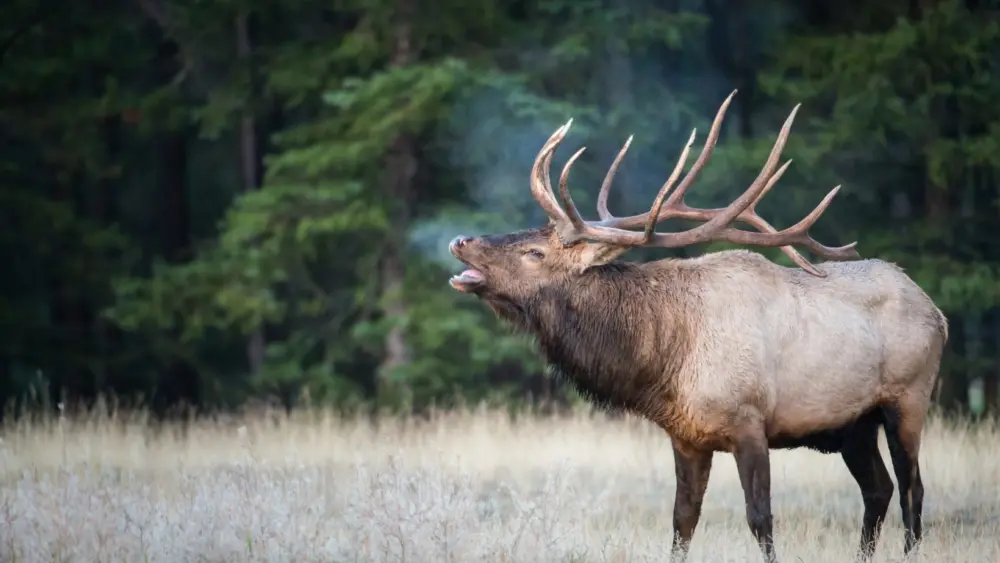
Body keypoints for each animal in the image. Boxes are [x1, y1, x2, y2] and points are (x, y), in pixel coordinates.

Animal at [446, 91, 948, 563]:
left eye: (534, 252)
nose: (460, 240)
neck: (665, 358)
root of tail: (937, 313)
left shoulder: (750, 420)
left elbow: (761, 518)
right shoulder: (686, 437)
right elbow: (682, 520)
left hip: (908, 398)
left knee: (912, 490)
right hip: (853, 424)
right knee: (878, 489)